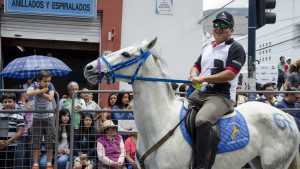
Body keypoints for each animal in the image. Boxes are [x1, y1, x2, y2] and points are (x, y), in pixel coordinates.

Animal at [84, 37, 300, 168]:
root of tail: (286, 117)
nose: (89, 68)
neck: (161, 124)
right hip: (257, 162)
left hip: (275, 164)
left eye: (126, 54)